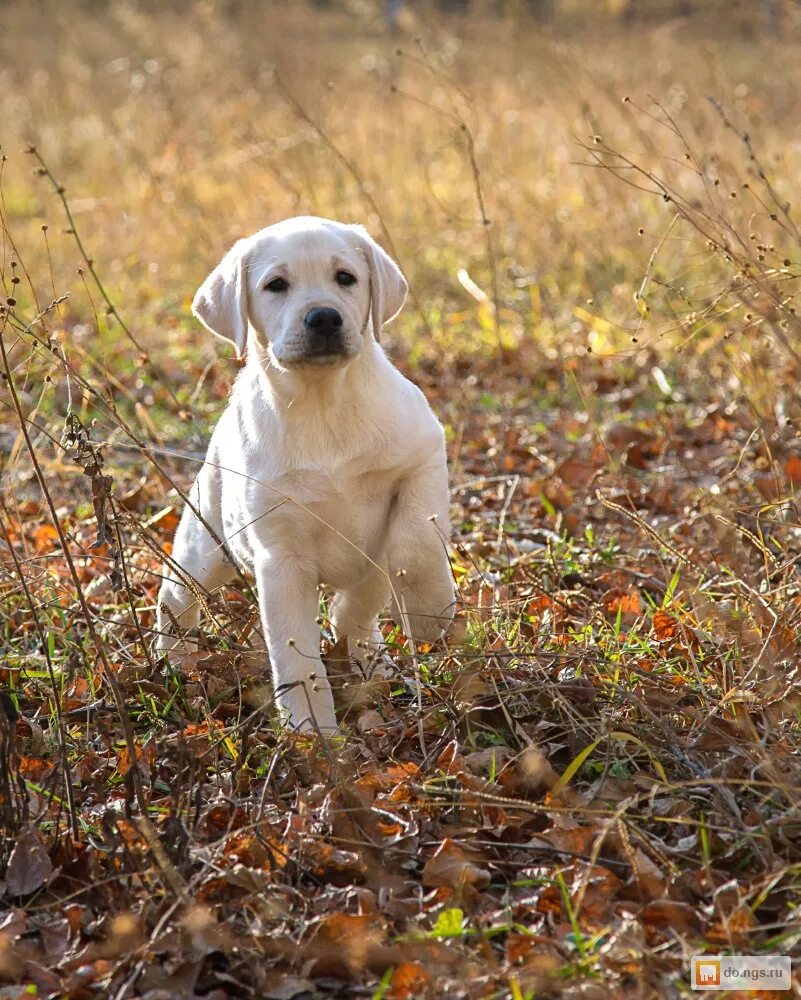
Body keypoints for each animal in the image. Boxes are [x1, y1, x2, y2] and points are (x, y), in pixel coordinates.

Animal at [156, 217, 456, 736]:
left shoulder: (424, 457)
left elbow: (417, 541)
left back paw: (372, 657)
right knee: (174, 595)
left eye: (346, 278)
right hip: (205, 547)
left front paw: (428, 610)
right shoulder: (282, 560)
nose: (324, 318)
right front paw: (313, 733)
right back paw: (172, 661)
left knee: (362, 601)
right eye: (276, 285)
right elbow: (296, 658)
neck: (323, 403)